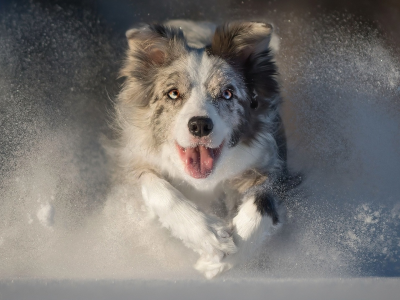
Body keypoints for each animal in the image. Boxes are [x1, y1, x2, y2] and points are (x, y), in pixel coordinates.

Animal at [111, 20, 298, 278]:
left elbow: (262, 203)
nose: (199, 125)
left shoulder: (273, 168)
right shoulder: (132, 163)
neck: (203, 182)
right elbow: (154, 184)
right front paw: (208, 236)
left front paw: (223, 260)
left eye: (227, 93)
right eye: (173, 93)